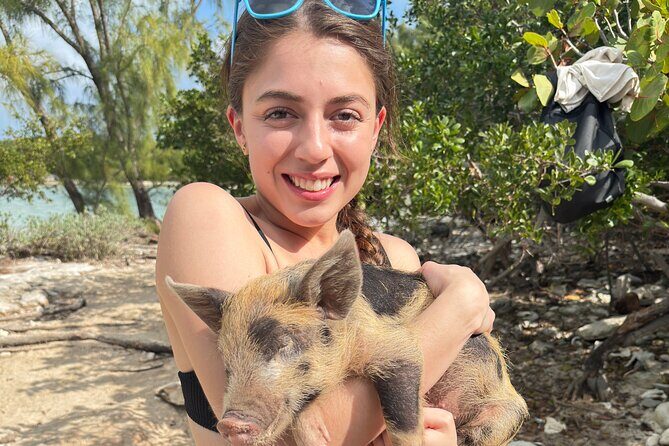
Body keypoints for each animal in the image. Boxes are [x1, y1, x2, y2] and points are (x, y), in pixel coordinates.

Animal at [165, 230, 528, 446]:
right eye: (227, 364)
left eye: (285, 344)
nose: (230, 424)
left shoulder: (397, 347)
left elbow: (402, 421)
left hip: (505, 414)